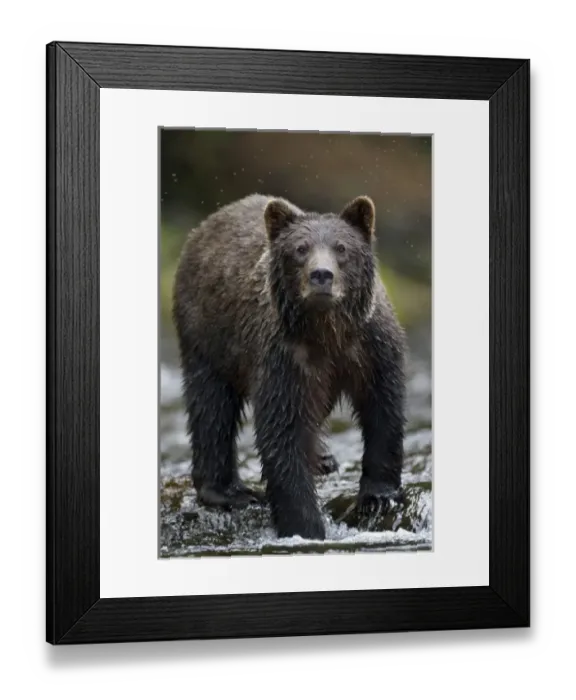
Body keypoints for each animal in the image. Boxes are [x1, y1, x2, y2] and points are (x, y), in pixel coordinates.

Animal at [172, 193, 406, 541]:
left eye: (341, 248)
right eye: (300, 248)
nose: (321, 275)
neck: (327, 331)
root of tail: (205, 226)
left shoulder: (371, 346)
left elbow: (383, 409)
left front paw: (378, 496)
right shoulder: (283, 357)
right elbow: (282, 432)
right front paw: (306, 527)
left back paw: (323, 459)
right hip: (208, 336)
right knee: (211, 408)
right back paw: (229, 492)